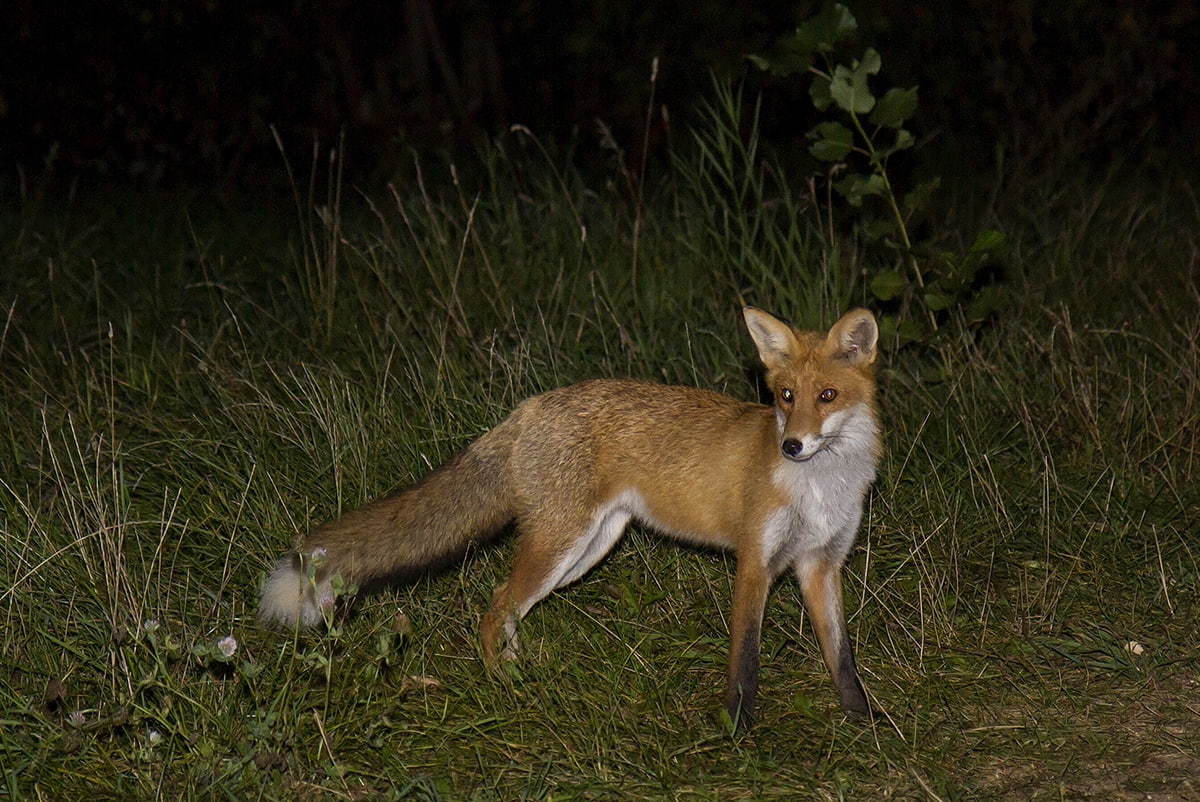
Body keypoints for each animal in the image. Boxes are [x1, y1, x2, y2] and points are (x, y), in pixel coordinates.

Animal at [262, 304, 883, 725]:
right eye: (784, 396)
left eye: (827, 396)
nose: (792, 446)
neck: (822, 489)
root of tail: (530, 407)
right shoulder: (755, 562)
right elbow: (745, 662)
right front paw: (736, 730)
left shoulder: (820, 564)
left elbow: (842, 657)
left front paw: (863, 722)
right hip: (561, 543)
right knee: (494, 607)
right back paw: (504, 687)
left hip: (585, 551)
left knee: (508, 609)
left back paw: (518, 674)